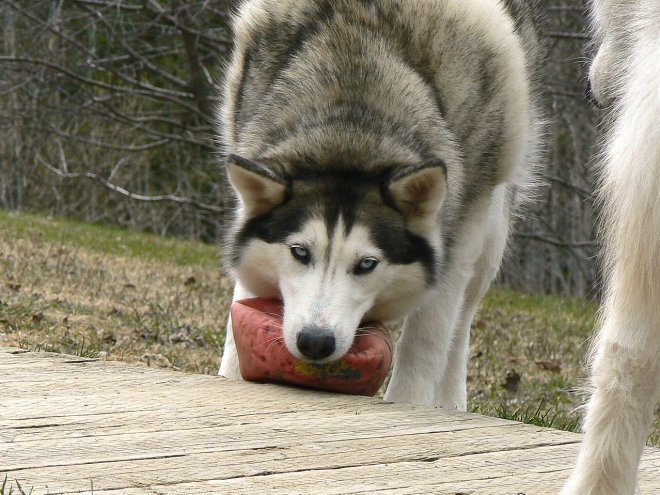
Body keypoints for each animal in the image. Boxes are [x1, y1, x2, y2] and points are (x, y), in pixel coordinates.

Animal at [219, 0, 544, 410]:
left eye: (367, 264)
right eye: (299, 252)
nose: (315, 342)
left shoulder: (461, 230)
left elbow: (429, 335)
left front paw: (410, 403)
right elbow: (243, 308)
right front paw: (232, 378)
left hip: (492, 228)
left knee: (461, 323)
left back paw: (452, 404)